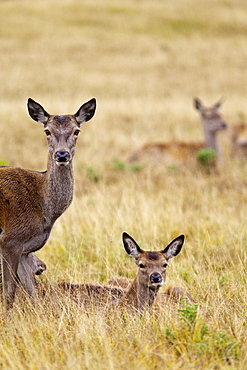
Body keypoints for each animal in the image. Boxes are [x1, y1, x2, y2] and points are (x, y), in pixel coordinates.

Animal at [0, 97, 96, 312]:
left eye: (76, 130)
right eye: (47, 131)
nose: (62, 155)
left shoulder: (25, 248)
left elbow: (32, 292)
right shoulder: (10, 238)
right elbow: (9, 293)